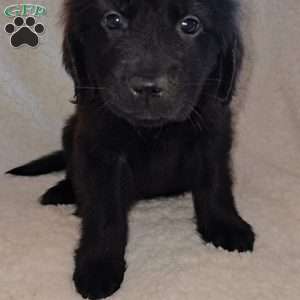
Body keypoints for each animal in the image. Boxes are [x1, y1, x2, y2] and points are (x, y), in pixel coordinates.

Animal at [7, 1, 254, 298]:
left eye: (190, 24)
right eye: (113, 20)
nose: (147, 88)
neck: (153, 131)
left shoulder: (213, 133)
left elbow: (215, 184)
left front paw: (225, 225)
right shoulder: (100, 148)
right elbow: (104, 211)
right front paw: (98, 264)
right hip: (70, 131)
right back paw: (62, 191)